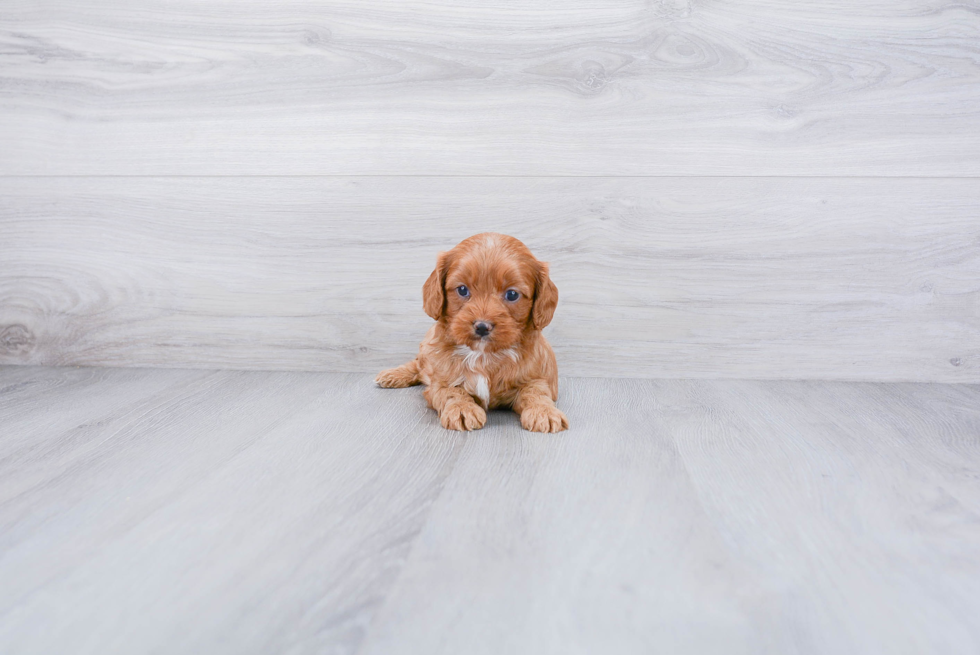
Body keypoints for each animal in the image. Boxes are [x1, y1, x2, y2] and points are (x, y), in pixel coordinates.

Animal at [378, 233, 572, 434]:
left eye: (512, 294)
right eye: (462, 289)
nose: (482, 326)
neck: (483, 355)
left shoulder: (538, 377)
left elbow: (537, 392)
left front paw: (544, 412)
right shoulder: (440, 380)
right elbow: (451, 391)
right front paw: (462, 409)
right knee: (418, 365)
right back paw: (393, 375)